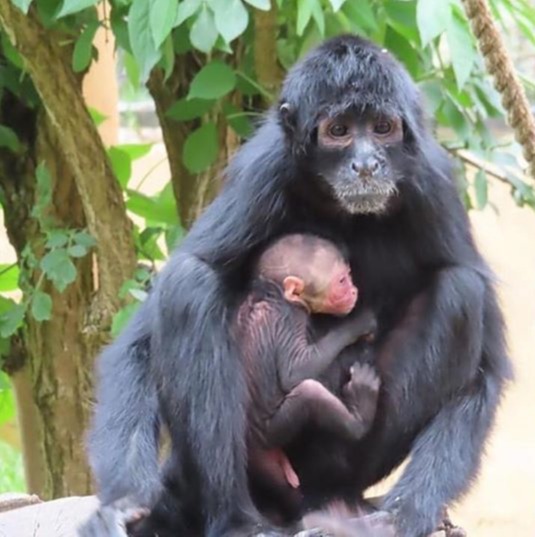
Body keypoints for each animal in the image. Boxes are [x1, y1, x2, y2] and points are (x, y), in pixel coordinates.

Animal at [238, 232, 382, 516]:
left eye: (348, 276)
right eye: (341, 281)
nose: (354, 290)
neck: (273, 291)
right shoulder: (290, 316)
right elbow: (296, 371)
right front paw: (357, 324)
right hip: (272, 430)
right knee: (310, 393)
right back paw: (360, 412)